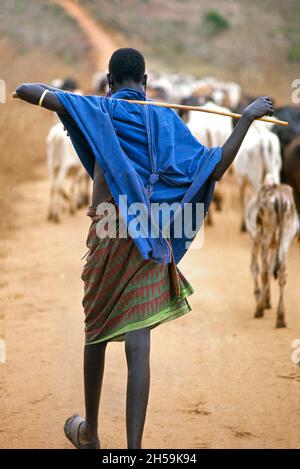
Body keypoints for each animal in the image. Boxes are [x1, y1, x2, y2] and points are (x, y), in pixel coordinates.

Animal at [246, 177, 298, 328]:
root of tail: (280, 196)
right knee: (282, 274)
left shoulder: (256, 239)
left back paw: (259, 309)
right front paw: (267, 299)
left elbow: (255, 268)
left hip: (266, 237)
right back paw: (280, 318)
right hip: (286, 238)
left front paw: (260, 296)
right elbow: (270, 269)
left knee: (263, 272)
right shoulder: (274, 245)